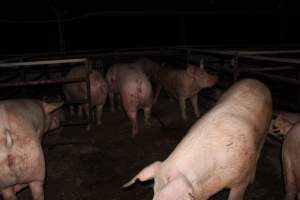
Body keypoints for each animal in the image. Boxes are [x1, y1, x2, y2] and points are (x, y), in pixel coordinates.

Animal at [123, 79, 274, 199]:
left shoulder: (240, 183)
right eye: (153, 194)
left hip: (265, 129)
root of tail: (256, 81)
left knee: (258, 153)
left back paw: (252, 179)